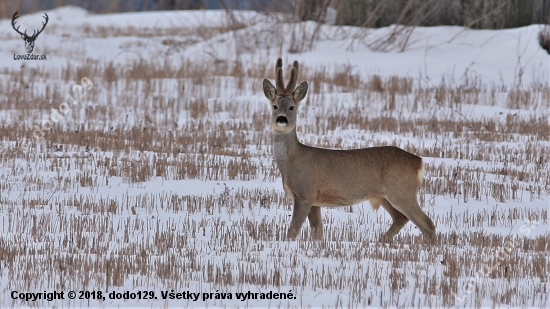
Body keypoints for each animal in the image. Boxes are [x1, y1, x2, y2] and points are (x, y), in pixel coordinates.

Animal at [264, 57, 436, 241]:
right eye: (274, 106)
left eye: (291, 107)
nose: (281, 119)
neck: (292, 161)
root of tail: (419, 162)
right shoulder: (315, 201)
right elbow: (317, 231)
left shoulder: (305, 193)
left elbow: (293, 230)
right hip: (385, 196)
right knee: (401, 219)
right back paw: (380, 242)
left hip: (402, 191)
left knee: (427, 224)